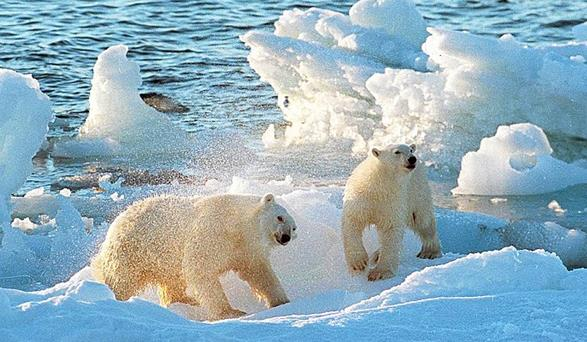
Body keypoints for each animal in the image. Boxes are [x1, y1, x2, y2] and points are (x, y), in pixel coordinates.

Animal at [92, 194, 298, 320]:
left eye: (294, 227)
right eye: (280, 217)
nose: (285, 237)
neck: (237, 225)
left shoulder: (246, 249)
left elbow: (259, 273)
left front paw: (282, 302)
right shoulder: (213, 231)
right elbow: (201, 269)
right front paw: (231, 312)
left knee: (172, 281)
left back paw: (184, 300)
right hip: (132, 250)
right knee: (122, 280)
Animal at [342, 144, 444, 280]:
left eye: (410, 150)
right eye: (397, 152)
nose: (412, 159)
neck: (379, 186)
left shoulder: (393, 200)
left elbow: (391, 230)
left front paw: (380, 272)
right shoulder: (361, 198)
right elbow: (353, 222)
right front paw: (359, 263)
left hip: (417, 192)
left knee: (423, 220)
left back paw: (430, 252)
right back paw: (377, 255)